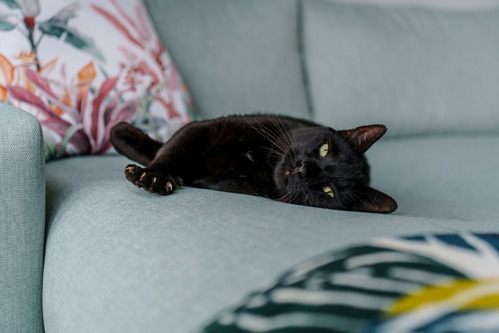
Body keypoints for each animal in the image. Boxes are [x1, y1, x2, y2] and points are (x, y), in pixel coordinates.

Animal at [110, 114, 398, 213]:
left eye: (328, 191)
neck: (260, 164)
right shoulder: (204, 128)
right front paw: (153, 174)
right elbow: (169, 150)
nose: (304, 168)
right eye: (324, 149)